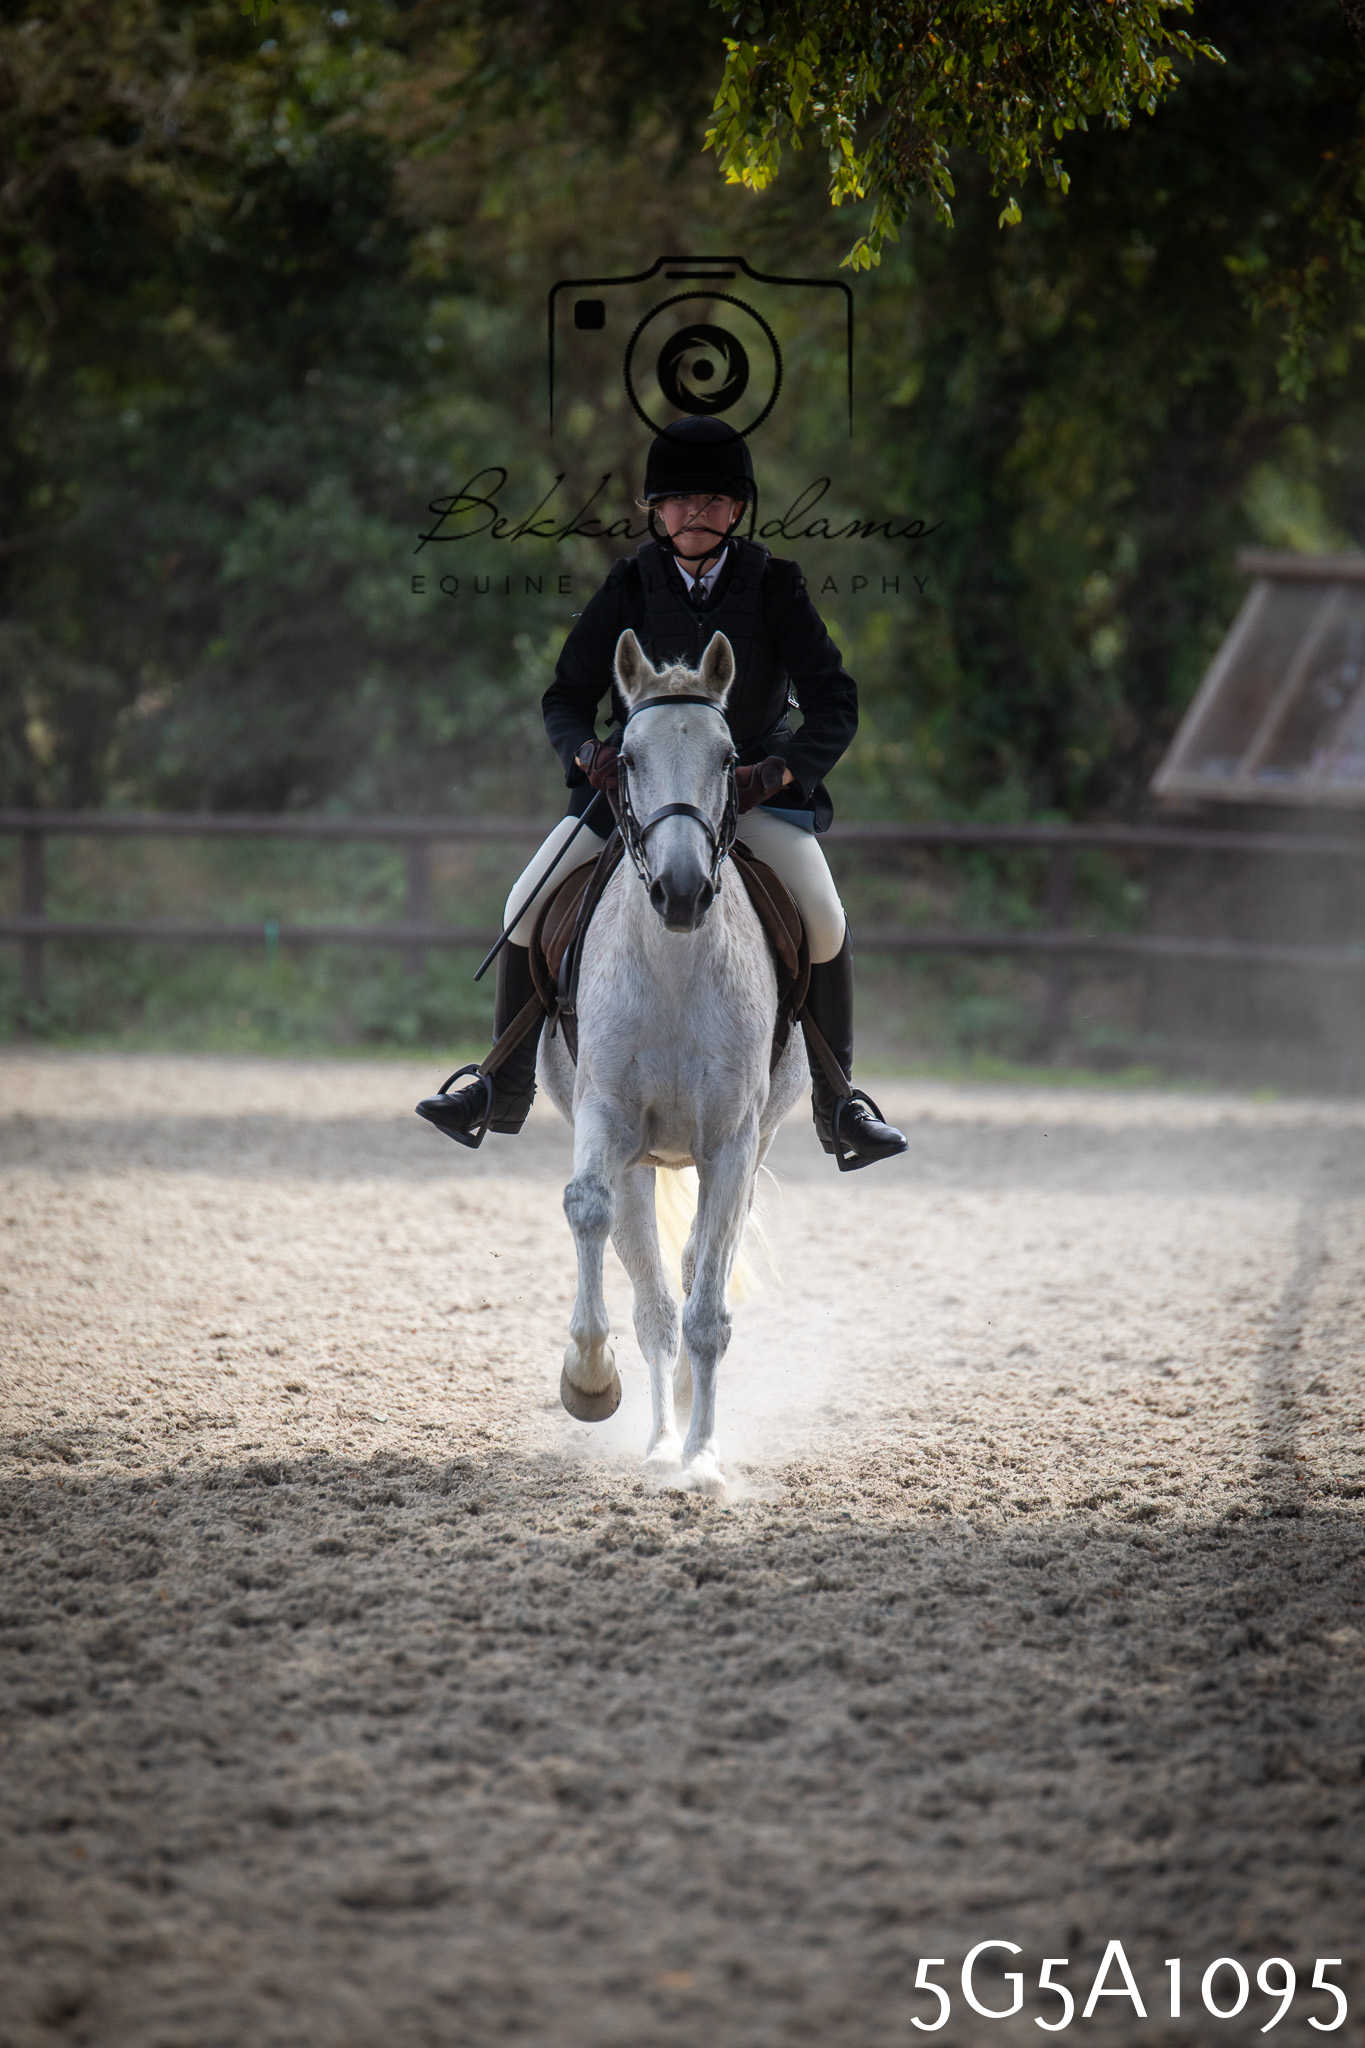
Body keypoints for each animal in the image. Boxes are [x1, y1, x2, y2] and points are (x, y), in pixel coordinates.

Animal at [538, 627, 808, 1494]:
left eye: (729, 758)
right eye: (624, 758)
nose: (682, 892)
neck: (675, 968)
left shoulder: (729, 1143)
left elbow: (708, 1308)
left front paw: (704, 1461)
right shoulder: (607, 1118)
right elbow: (590, 1214)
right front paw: (590, 1383)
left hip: (748, 1146)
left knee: (695, 1274)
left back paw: (684, 1428)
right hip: (639, 1158)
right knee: (652, 1292)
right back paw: (657, 1438)